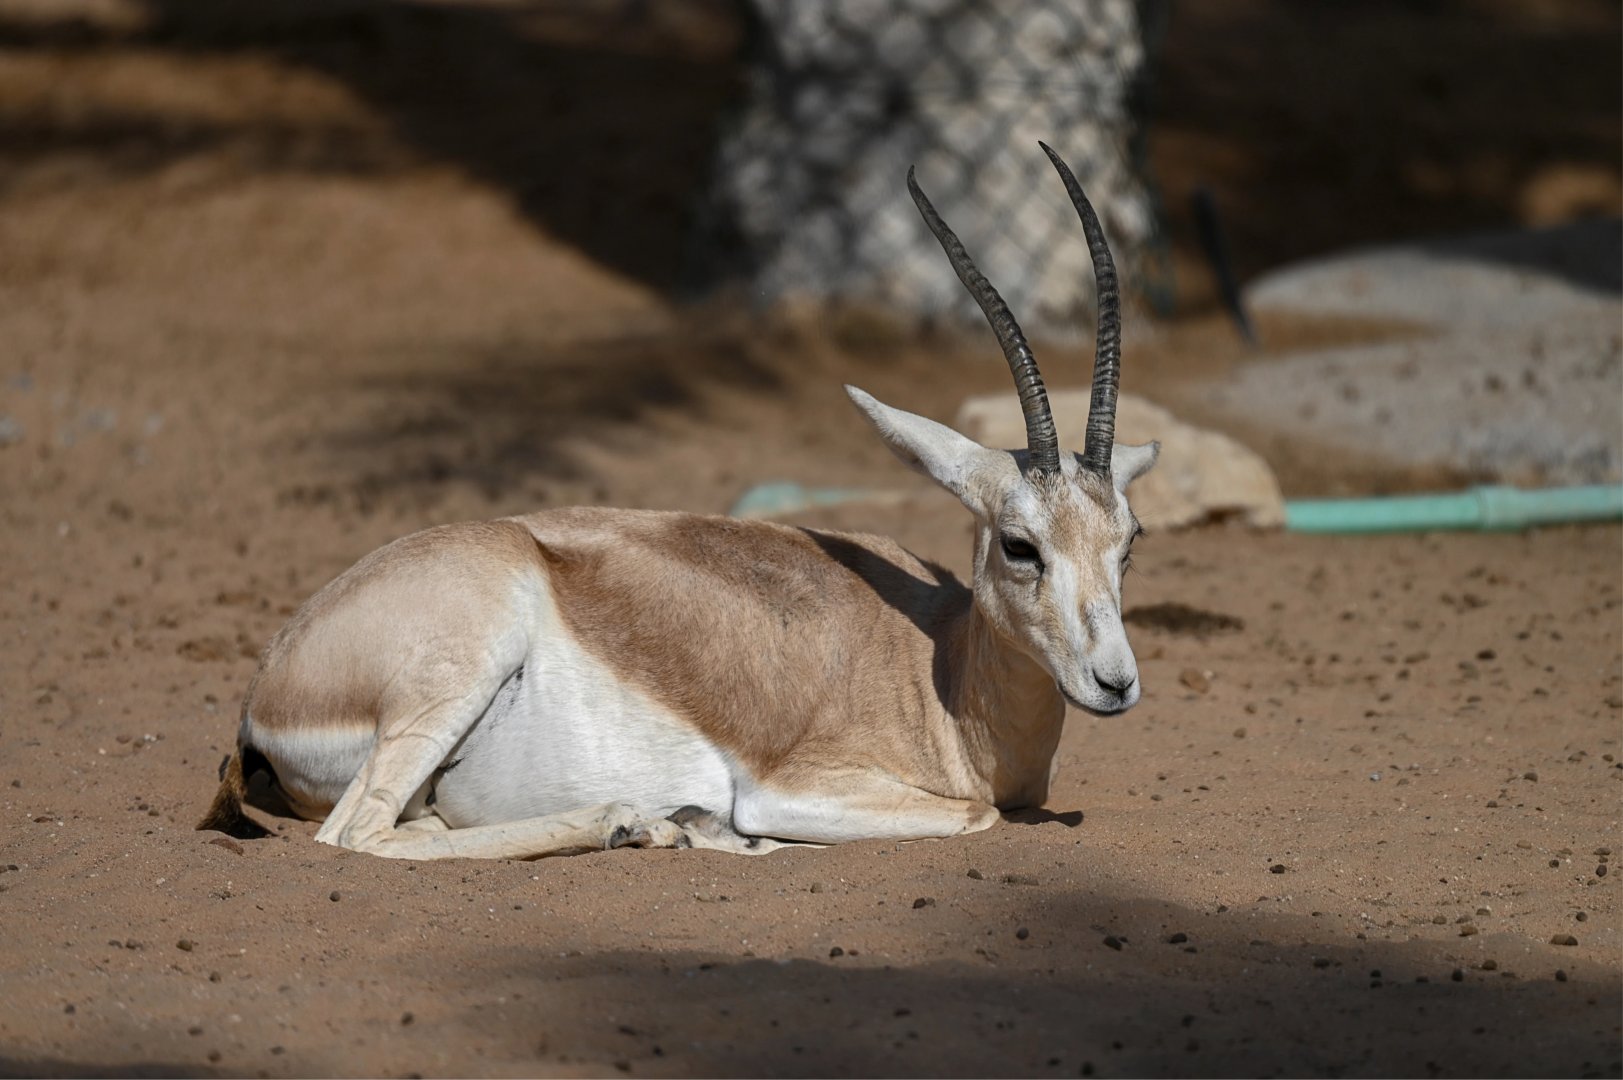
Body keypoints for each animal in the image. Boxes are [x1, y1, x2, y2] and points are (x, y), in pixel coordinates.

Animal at [197, 143, 1159, 860]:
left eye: (1128, 542)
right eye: (1020, 544)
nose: (1115, 684)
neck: (938, 677)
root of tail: (272, 683)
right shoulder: (786, 789)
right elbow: (977, 815)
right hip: (460, 667)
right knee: (353, 835)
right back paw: (639, 821)